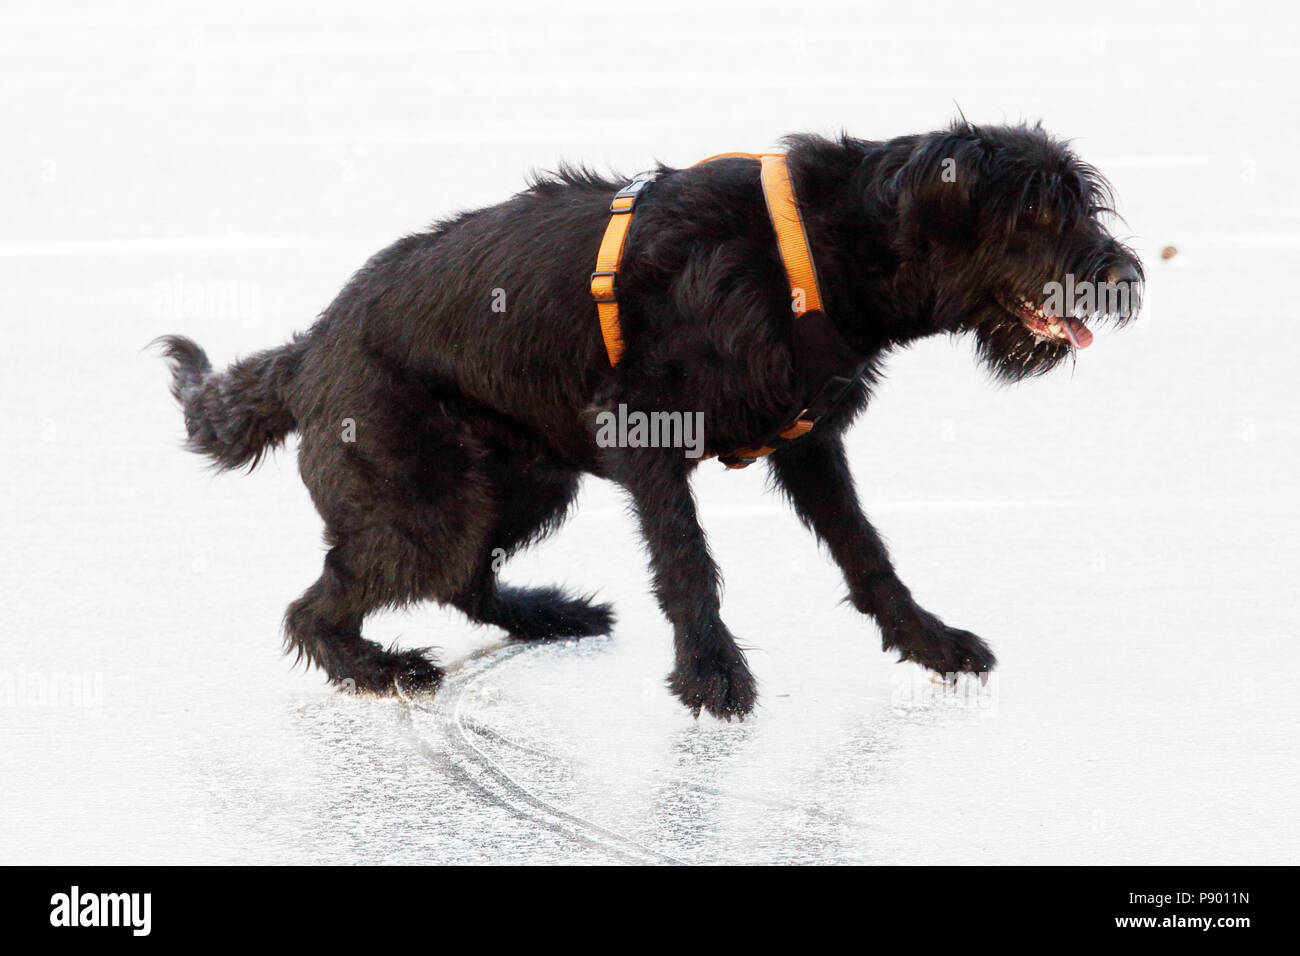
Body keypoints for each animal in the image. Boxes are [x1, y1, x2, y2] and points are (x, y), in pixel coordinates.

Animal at [157, 121, 1144, 717]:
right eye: (1036, 210)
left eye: (1083, 202)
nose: (1124, 275)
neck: (825, 249)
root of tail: (306, 350)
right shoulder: (643, 429)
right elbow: (687, 562)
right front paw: (711, 673)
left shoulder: (810, 441)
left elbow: (867, 553)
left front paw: (927, 642)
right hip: (424, 501)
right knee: (319, 605)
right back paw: (381, 668)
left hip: (525, 479)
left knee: (465, 578)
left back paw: (547, 614)